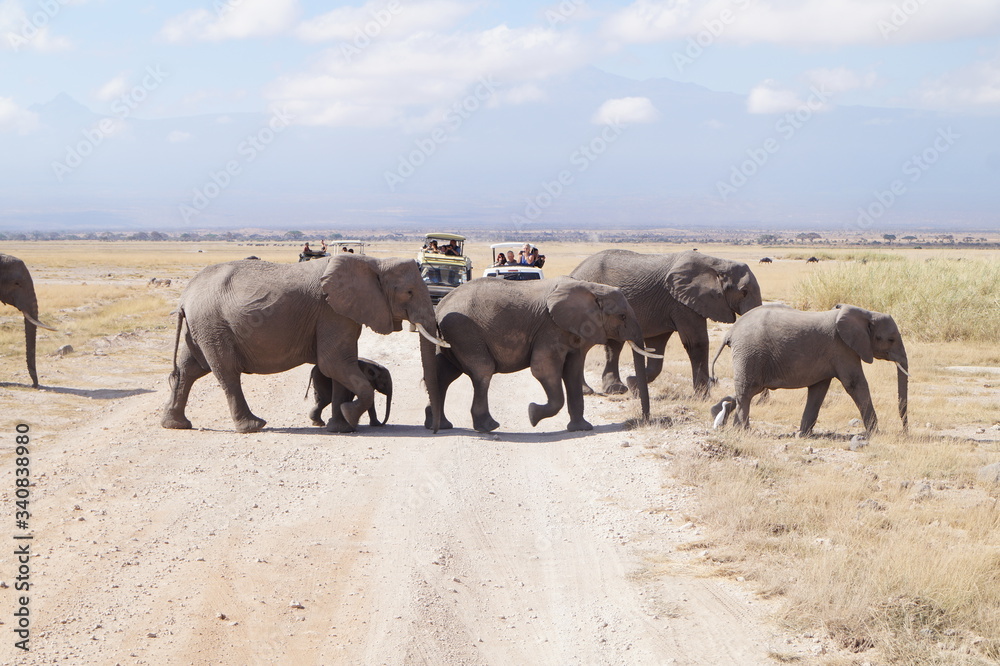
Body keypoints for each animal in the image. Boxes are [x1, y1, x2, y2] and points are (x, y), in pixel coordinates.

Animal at [161, 254, 447, 434]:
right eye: (408, 292)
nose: (433, 430)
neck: (374, 263)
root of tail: (184, 297)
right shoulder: (332, 311)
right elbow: (334, 363)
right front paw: (349, 416)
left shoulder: (342, 311)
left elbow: (340, 366)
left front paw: (341, 427)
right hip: (213, 324)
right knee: (227, 373)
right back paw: (253, 426)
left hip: (201, 326)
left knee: (189, 370)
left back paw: (175, 424)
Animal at [423, 276, 660, 433]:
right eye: (622, 316)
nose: (645, 419)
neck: (593, 289)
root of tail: (440, 305)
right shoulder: (550, 329)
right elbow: (543, 369)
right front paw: (532, 414)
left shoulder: (574, 332)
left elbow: (573, 372)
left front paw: (582, 428)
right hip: (464, 331)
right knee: (482, 371)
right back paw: (488, 427)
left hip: (453, 337)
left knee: (444, 374)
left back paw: (440, 425)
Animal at [569, 249, 762, 397]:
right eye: (744, 292)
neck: (718, 263)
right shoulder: (682, 302)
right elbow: (696, 343)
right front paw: (702, 398)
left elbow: (657, 350)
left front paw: (634, 384)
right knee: (582, 346)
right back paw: (586, 391)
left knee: (614, 346)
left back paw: (616, 389)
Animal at [709, 304, 908, 435]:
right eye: (890, 339)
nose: (905, 432)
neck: (866, 313)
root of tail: (730, 332)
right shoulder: (843, 348)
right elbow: (854, 384)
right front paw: (875, 434)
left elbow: (819, 390)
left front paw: (804, 434)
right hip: (750, 354)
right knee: (747, 391)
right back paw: (744, 431)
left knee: (746, 391)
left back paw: (726, 419)